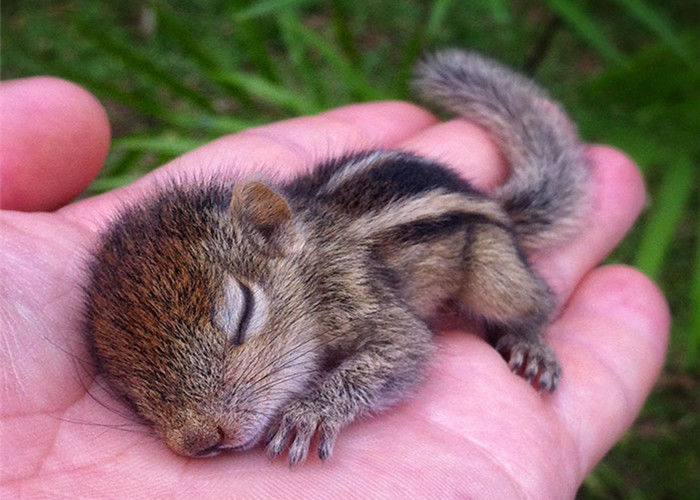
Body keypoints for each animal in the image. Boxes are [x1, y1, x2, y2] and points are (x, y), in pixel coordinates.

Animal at [83, 49, 592, 464]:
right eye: (124, 385)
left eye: (243, 314)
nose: (200, 440)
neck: (311, 263)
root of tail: (493, 202)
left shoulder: (361, 298)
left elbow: (405, 350)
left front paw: (309, 412)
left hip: (492, 268)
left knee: (536, 300)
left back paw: (530, 343)